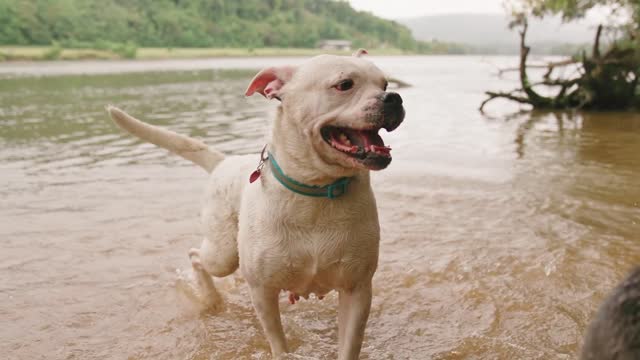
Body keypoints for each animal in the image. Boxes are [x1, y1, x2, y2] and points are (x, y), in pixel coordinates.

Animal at [105, 51, 404, 360]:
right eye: (345, 84)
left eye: (384, 83)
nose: (394, 98)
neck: (317, 191)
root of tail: (223, 162)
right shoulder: (262, 289)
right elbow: (278, 342)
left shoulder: (357, 289)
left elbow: (349, 345)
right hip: (224, 253)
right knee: (196, 256)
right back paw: (210, 300)